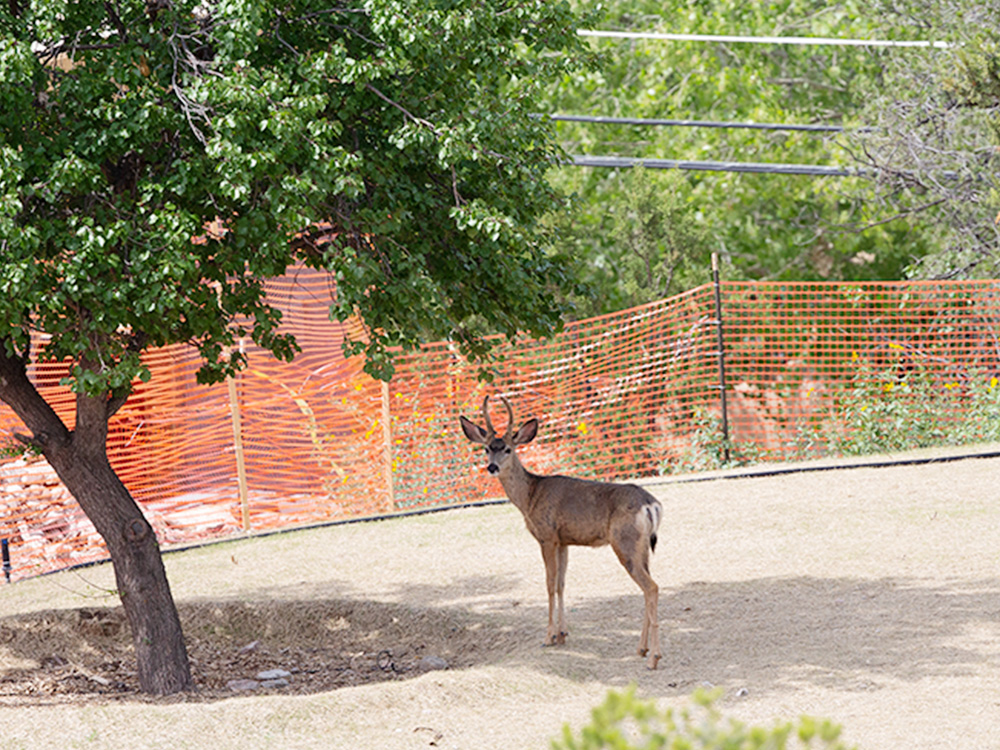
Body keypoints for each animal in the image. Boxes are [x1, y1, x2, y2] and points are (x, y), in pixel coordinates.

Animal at [459, 396, 663, 669]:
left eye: (508, 449)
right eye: (486, 448)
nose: (491, 467)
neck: (530, 496)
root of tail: (651, 505)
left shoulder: (546, 536)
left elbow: (549, 584)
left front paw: (548, 637)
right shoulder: (564, 541)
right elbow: (561, 584)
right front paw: (563, 634)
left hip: (625, 542)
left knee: (651, 587)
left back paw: (653, 658)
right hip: (642, 548)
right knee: (648, 587)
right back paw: (641, 648)